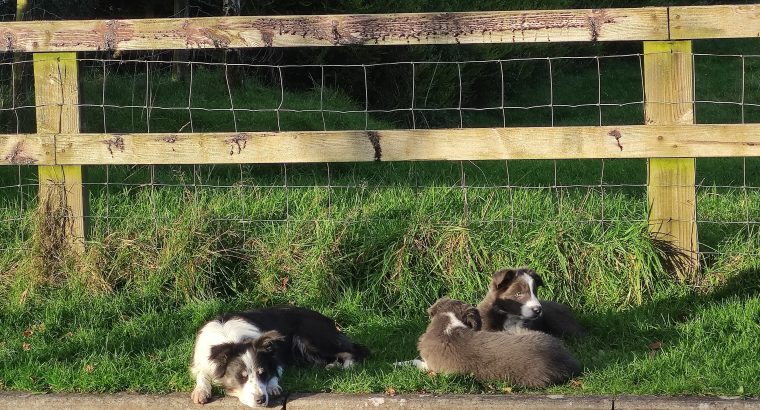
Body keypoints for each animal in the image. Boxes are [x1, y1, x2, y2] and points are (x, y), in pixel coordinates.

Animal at [190, 304, 368, 406]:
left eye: (262, 373)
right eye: (242, 377)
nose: (261, 400)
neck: (232, 340)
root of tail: (328, 320)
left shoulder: (277, 358)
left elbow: (275, 371)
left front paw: (272, 386)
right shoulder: (202, 361)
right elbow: (202, 374)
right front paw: (201, 392)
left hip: (311, 337)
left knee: (355, 350)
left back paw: (346, 366)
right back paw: (332, 365)